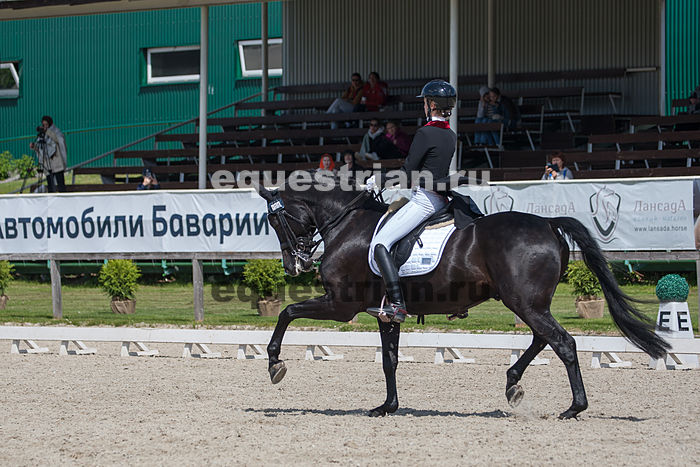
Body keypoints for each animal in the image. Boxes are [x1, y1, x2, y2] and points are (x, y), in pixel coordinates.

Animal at [255, 180, 669, 419]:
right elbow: (389, 361)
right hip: (528, 302)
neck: (346, 223)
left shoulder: (342, 305)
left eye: (276, 222)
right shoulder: (385, 314)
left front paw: (274, 363)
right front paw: (387, 407)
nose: (293, 264)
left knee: (563, 342)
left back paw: (573, 408)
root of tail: (548, 223)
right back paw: (513, 383)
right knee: (544, 338)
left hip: (525, 303)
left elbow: (288, 312)